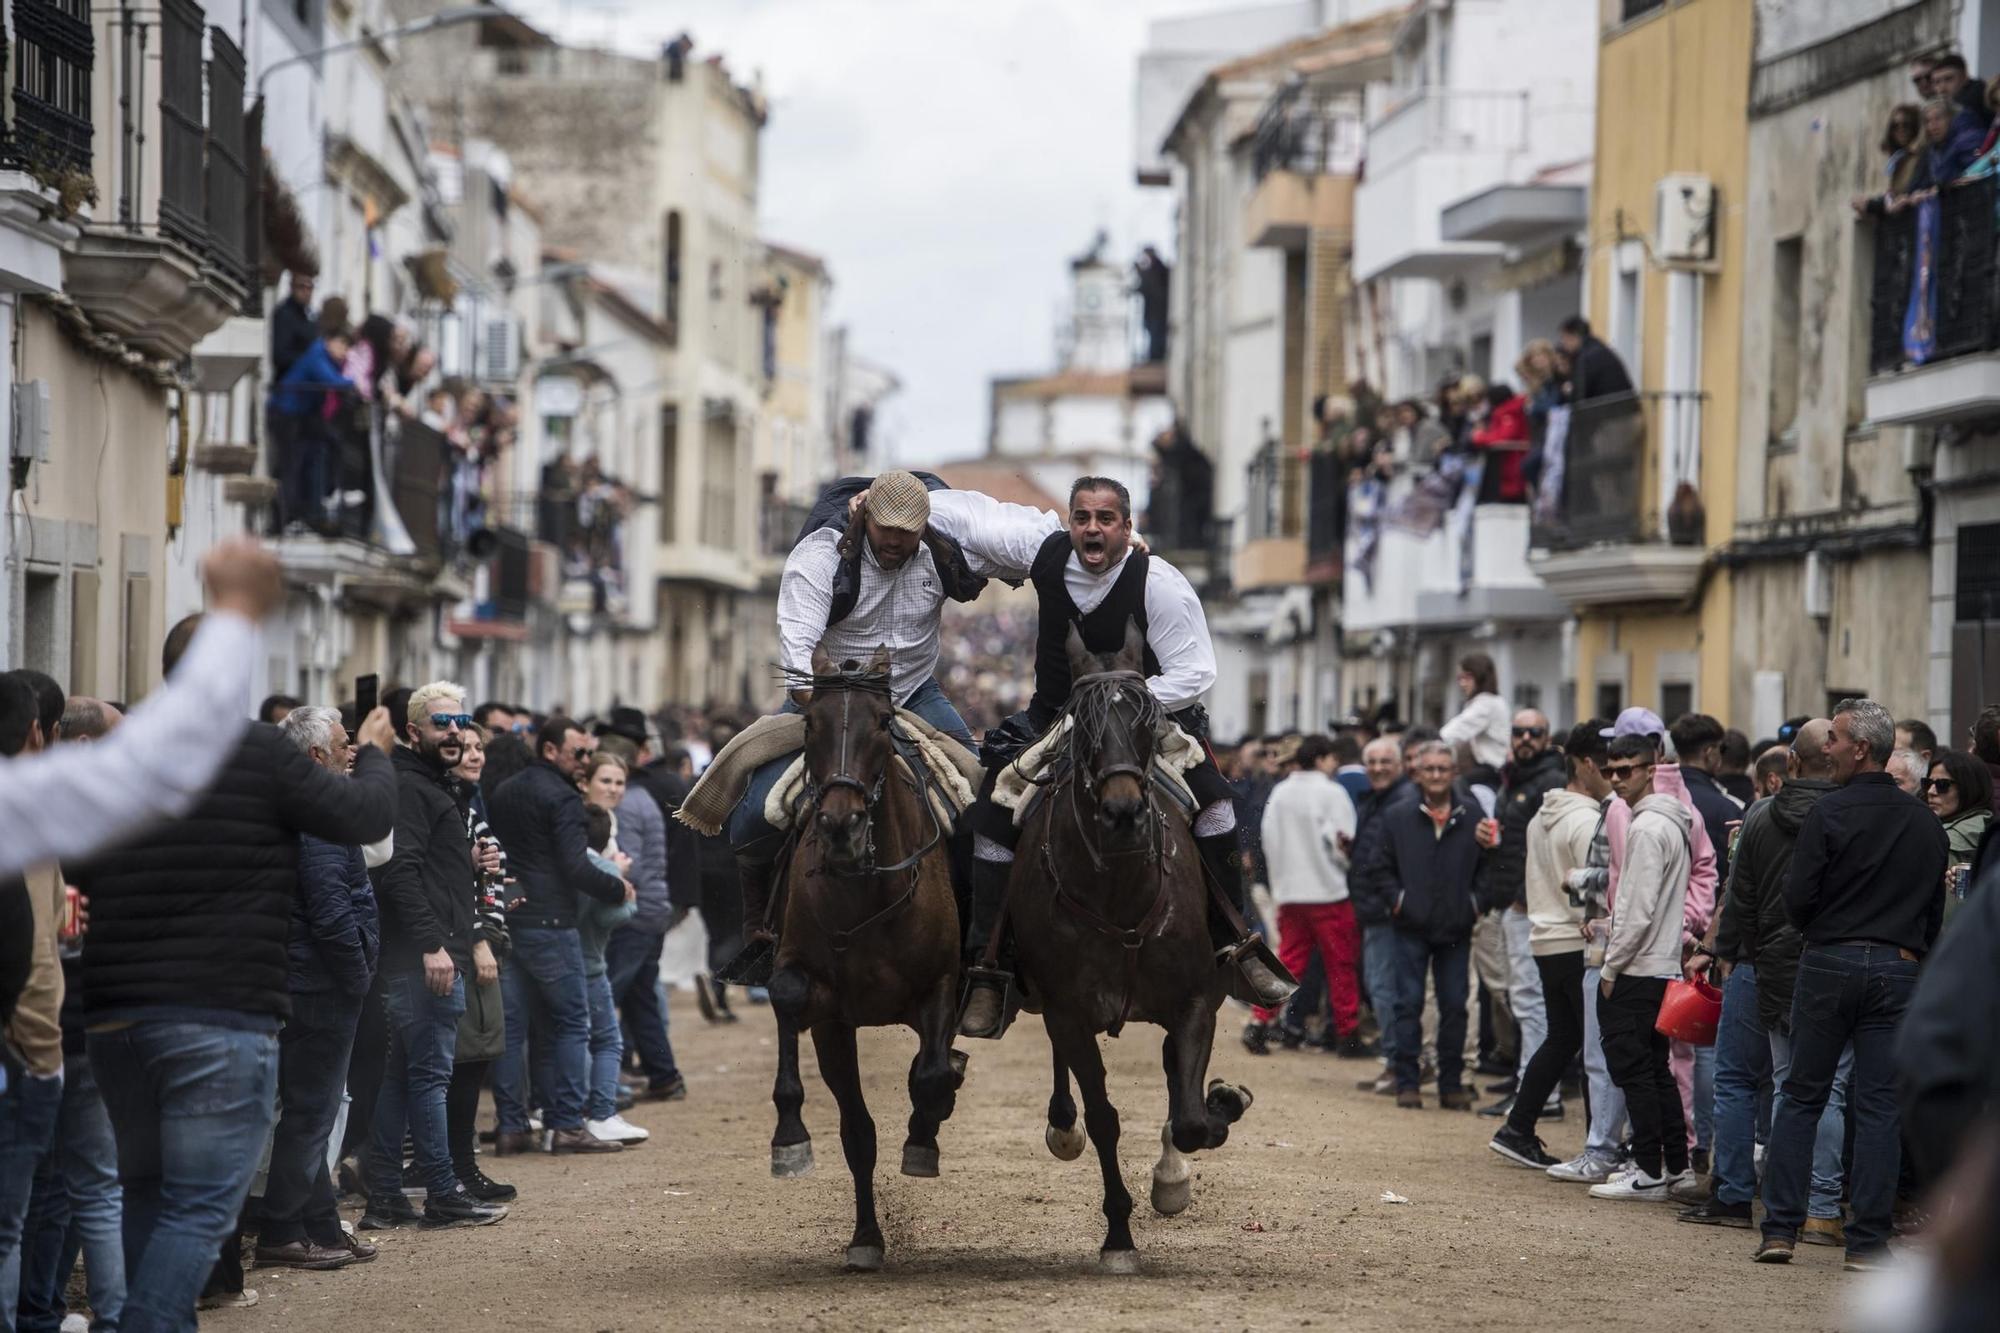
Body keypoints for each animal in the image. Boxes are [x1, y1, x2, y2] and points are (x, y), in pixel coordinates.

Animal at [764, 640, 960, 1264]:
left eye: (881, 722)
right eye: (810, 725)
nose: (840, 826)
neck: (865, 884)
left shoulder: (941, 985)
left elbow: (929, 1076)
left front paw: (924, 1136)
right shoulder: (828, 1012)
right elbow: (855, 1132)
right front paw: (791, 1140)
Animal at [1016, 620, 1248, 1264]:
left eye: (1145, 721)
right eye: (1082, 728)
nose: (1124, 813)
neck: (1120, 890)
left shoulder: (1196, 1001)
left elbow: (1190, 1116)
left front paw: (1218, 1108)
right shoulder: (1069, 1012)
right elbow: (1103, 1118)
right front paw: (1118, 1236)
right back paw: (1061, 1125)